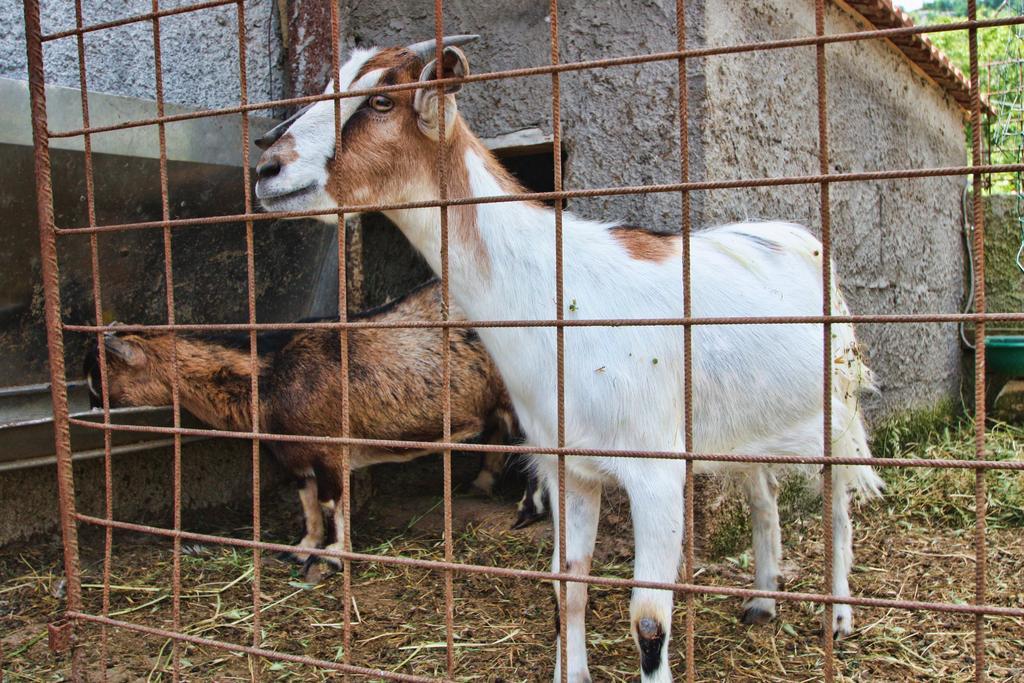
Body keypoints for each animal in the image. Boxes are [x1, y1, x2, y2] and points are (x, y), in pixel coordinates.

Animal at [82, 278, 544, 573]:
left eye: (98, 380)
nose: (91, 412)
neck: (270, 371)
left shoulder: (329, 447)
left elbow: (331, 502)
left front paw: (335, 555)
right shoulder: (291, 454)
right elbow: (306, 503)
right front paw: (301, 549)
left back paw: (526, 510)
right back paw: (481, 484)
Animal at [253, 37, 880, 683]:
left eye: (381, 100)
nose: (268, 170)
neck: (560, 294)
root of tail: (800, 239)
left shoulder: (656, 473)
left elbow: (648, 618)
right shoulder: (568, 466)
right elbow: (567, 586)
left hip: (834, 413)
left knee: (838, 505)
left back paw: (838, 617)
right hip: (742, 422)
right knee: (763, 496)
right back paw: (760, 602)